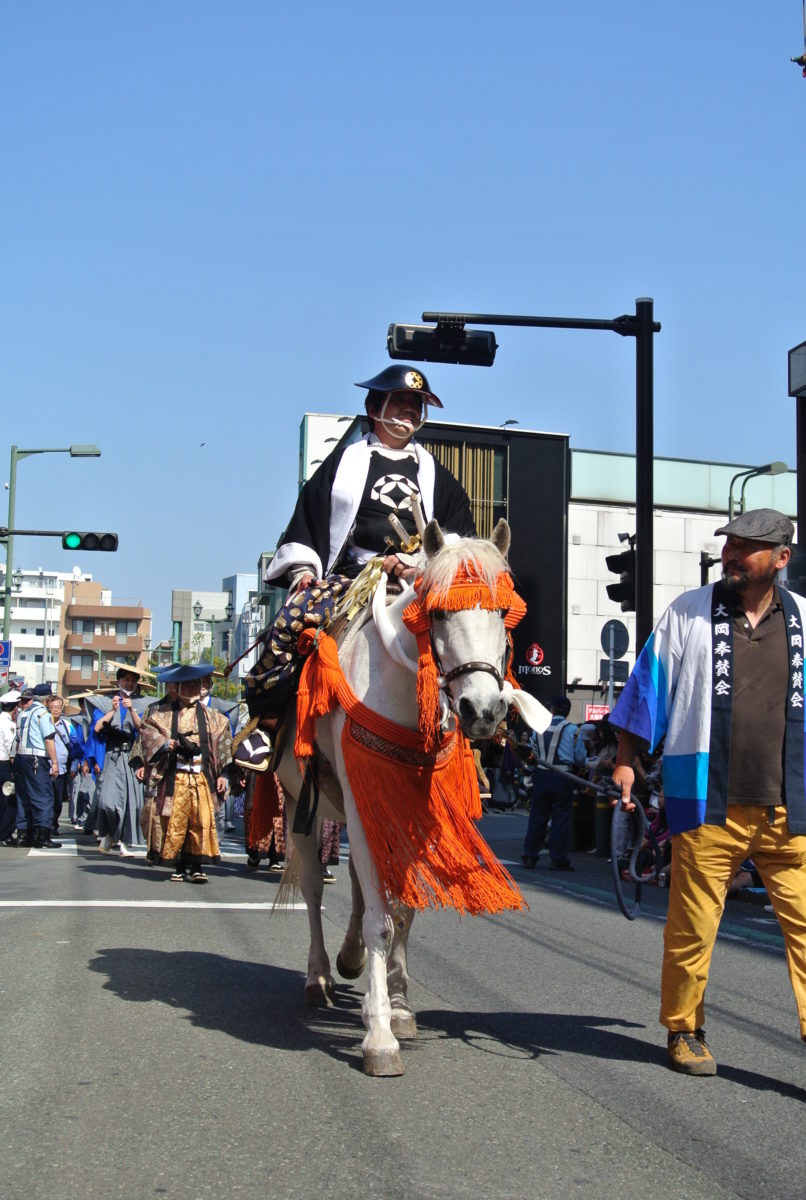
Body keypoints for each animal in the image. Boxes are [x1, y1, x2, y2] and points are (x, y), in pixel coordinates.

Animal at [275, 516, 546, 1080]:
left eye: (502, 612)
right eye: (439, 612)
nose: (482, 710)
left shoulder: (410, 807)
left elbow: (400, 909)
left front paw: (398, 1007)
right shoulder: (362, 798)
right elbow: (380, 916)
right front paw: (379, 1036)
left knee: (360, 884)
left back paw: (351, 958)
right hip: (298, 801)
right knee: (312, 889)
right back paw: (319, 976)